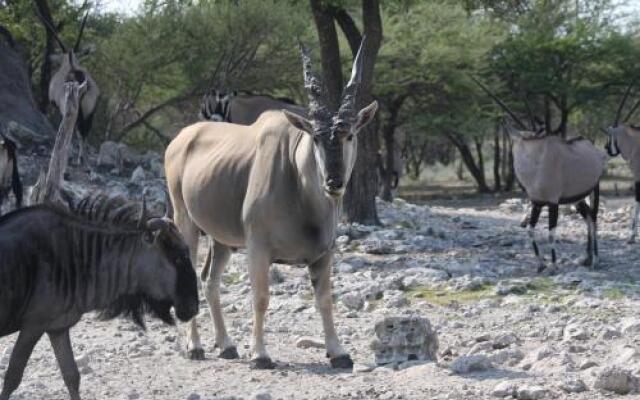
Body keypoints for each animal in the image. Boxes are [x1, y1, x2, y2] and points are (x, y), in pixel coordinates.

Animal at [34, 7, 99, 167]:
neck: (69, 63)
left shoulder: (58, 107)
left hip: (71, 111)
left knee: (74, 132)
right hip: (90, 113)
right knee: (84, 133)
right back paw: (82, 159)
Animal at [165, 39, 378, 368]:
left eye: (350, 135)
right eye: (315, 138)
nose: (334, 182)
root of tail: (181, 139)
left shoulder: (324, 254)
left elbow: (325, 300)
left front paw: (338, 352)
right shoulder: (258, 248)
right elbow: (261, 298)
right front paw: (260, 354)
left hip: (221, 240)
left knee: (210, 281)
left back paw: (226, 345)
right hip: (185, 222)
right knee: (192, 276)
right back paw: (195, 346)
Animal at [476, 77, 604, 272]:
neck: (536, 161)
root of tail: (592, 148)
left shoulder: (553, 202)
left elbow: (551, 233)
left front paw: (553, 265)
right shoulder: (536, 202)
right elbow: (530, 229)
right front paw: (540, 264)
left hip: (594, 190)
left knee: (594, 220)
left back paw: (595, 260)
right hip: (578, 198)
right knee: (589, 218)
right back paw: (587, 259)